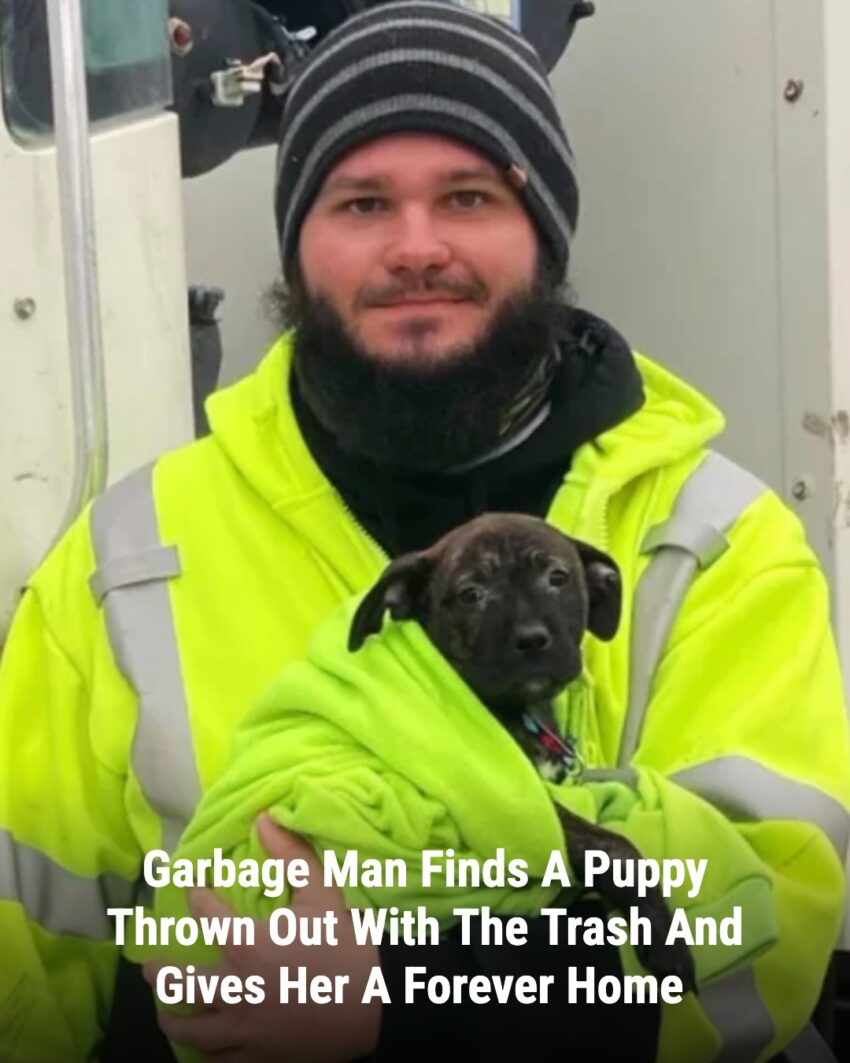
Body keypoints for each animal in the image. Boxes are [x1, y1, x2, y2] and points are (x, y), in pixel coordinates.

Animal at [349, 512, 696, 993]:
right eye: (471, 594)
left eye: (558, 578)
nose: (532, 640)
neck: (521, 710)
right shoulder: (518, 800)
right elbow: (614, 846)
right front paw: (665, 939)